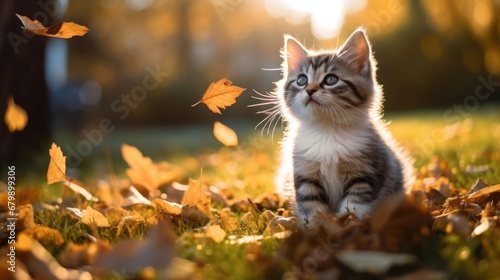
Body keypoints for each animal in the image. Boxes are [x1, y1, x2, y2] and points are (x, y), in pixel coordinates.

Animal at [254, 29, 414, 229]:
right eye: (302, 80)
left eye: (331, 79)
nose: (310, 90)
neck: (327, 130)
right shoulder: (306, 176)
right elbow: (312, 208)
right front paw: (315, 230)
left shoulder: (365, 175)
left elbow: (354, 208)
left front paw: (351, 227)